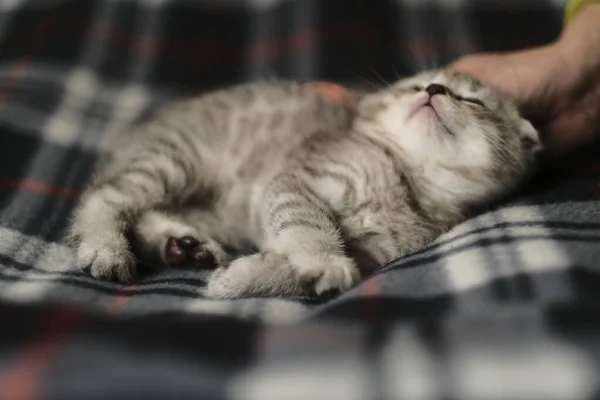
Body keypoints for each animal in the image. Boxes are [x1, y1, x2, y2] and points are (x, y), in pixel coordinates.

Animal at [68, 70, 540, 298]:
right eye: (415, 85)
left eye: (472, 100)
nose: (436, 88)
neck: (403, 179)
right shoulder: (297, 180)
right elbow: (307, 226)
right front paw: (325, 260)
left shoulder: (374, 253)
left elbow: (293, 265)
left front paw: (241, 279)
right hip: (173, 160)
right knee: (106, 195)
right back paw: (106, 248)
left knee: (147, 212)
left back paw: (183, 245)